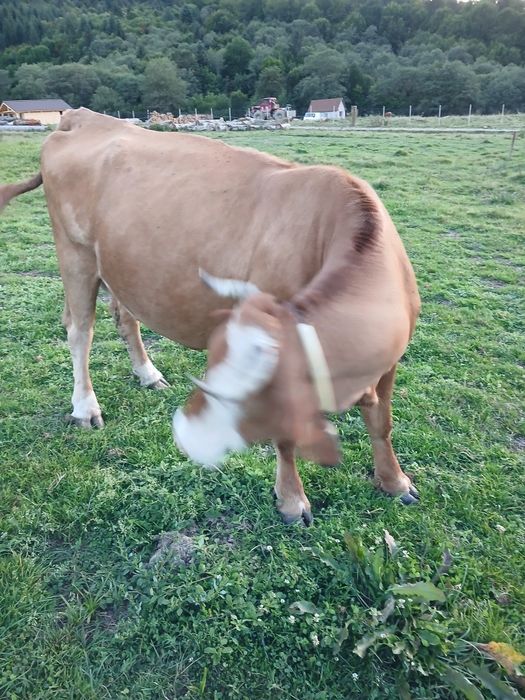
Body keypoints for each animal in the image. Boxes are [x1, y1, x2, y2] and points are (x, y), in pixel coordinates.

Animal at [1, 108, 421, 524]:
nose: (189, 440)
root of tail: (82, 116)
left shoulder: (389, 360)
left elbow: (382, 422)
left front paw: (395, 481)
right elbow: (288, 440)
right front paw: (291, 499)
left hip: (119, 264)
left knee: (125, 317)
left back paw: (147, 374)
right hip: (75, 254)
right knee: (79, 330)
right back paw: (85, 407)